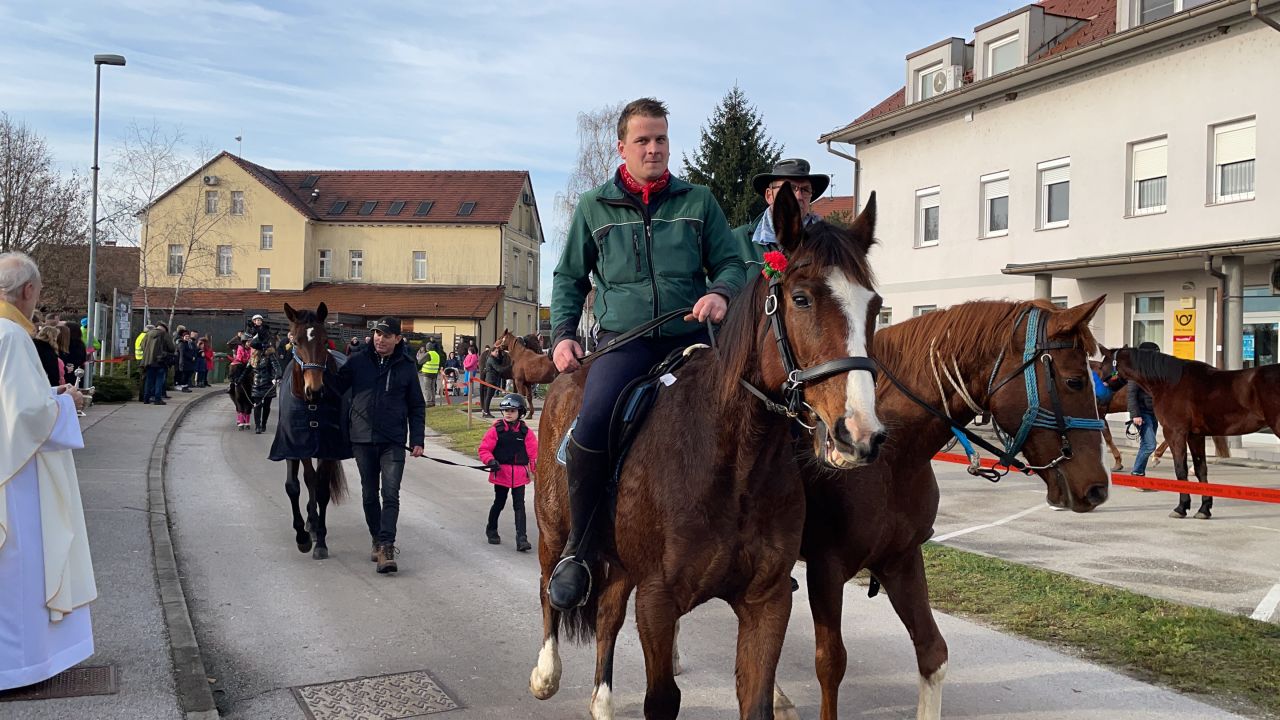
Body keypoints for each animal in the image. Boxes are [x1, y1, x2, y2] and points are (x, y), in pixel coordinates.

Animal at [527, 188, 880, 712]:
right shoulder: (656, 601)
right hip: (555, 528)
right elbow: (661, 698)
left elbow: (756, 699)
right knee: (550, 587)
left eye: (874, 306)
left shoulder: (767, 601)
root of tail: (571, 369)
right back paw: (547, 670)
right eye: (801, 299)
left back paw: (603, 702)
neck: (733, 462)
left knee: (608, 615)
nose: (859, 432)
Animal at [1090, 345, 1280, 517]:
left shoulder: (1175, 432)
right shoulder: (1195, 435)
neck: (1169, 382)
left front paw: (1181, 508)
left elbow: (1180, 470)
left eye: (1102, 366)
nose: (1098, 396)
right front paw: (1204, 509)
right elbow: (1200, 470)